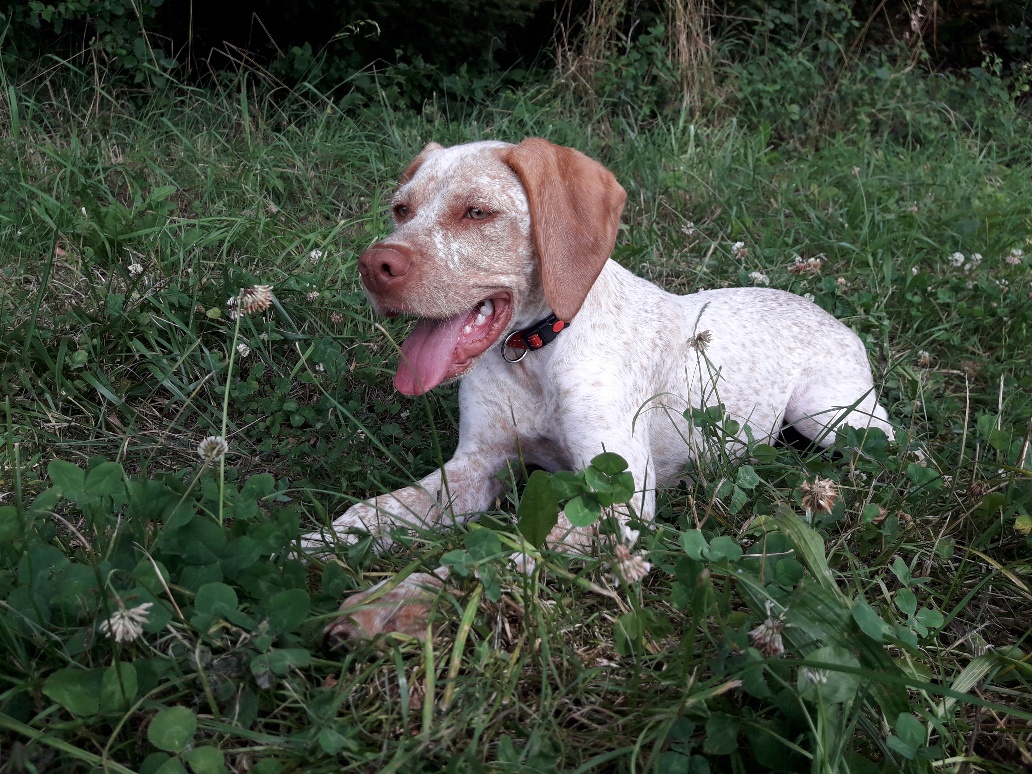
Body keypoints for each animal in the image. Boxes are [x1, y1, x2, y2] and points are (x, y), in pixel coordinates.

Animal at [301, 138, 891, 643]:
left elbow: (489, 559)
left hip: (829, 418)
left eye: (477, 213)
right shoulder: (474, 466)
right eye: (401, 209)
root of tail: (824, 311)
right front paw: (305, 548)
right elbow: (371, 513)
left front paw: (399, 600)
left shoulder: (617, 502)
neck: (534, 353)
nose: (374, 266)